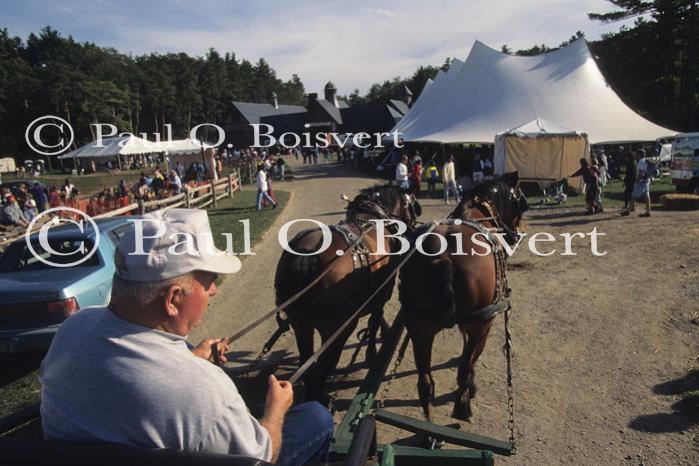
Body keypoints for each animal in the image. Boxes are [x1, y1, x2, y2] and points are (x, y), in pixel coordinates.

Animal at [274, 184, 422, 398]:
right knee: (324, 367)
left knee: (307, 363)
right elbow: (375, 319)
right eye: (412, 206)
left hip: (300, 322)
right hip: (337, 328)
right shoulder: (383, 291)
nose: (413, 227)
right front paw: (372, 353)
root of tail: (308, 257)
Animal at [396, 174, 528, 422]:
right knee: (462, 373)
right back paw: (462, 407)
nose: (517, 233)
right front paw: (470, 390)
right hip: (481, 323)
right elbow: (469, 360)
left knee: (425, 383)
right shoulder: (480, 323)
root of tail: (442, 256)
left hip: (419, 327)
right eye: (521, 203)